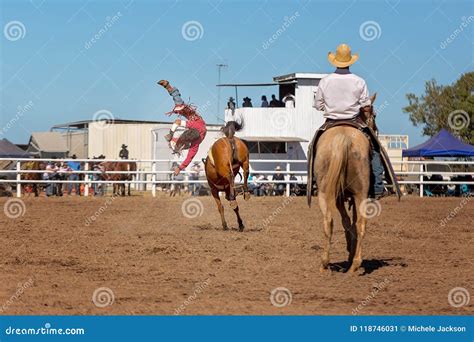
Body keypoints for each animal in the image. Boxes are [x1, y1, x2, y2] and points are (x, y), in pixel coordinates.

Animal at [314, 93, 378, 272]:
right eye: (374, 115)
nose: (376, 129)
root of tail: (343, 137)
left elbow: (346, 221)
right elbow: (350, 221)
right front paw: (350, 250)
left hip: (325, 193)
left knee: (329, 221)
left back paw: (326, 263)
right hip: (359, 193)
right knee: (360, 223)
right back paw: (354, 263)